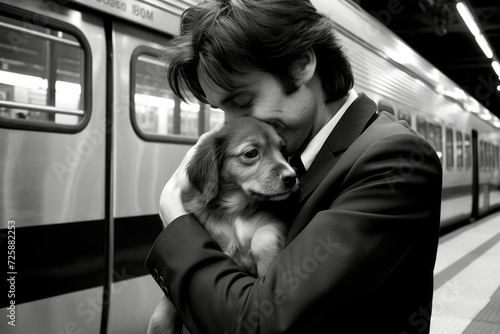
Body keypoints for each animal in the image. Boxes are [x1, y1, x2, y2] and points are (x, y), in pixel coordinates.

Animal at [146, 117, 298, 334]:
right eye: (251, 153)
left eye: (282, 150)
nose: (291, 177)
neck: (234, 211)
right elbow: (163, 312)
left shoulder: (273, 221)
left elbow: (262, 239)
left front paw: (267, 268)